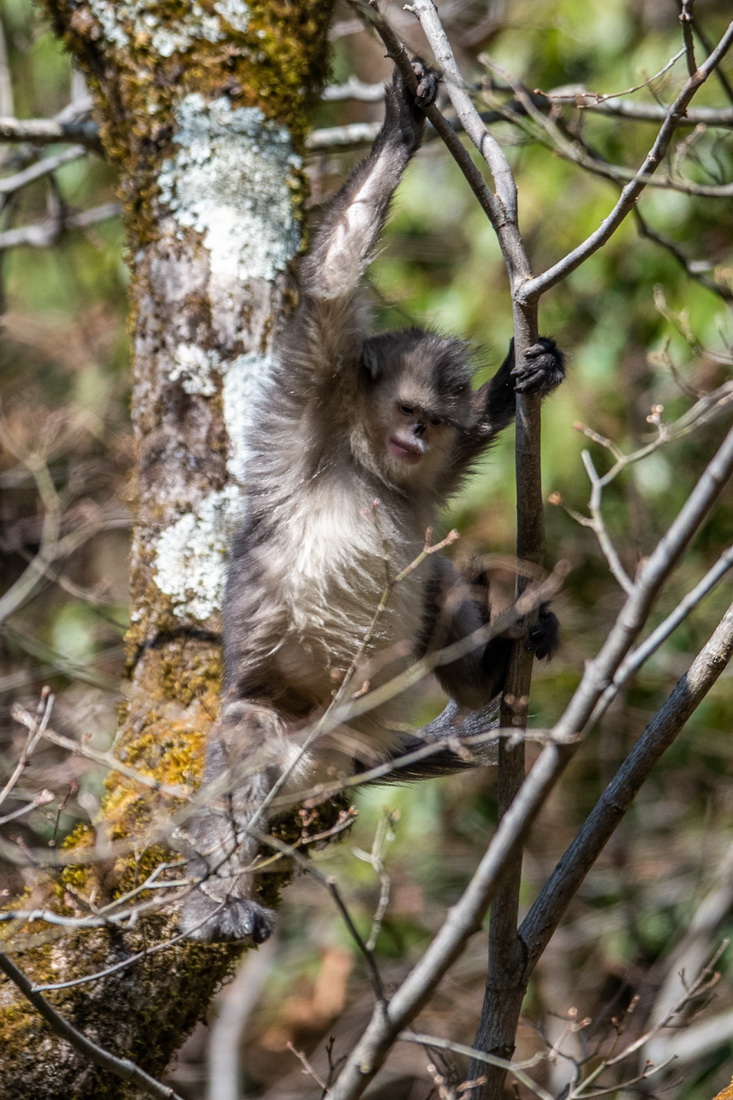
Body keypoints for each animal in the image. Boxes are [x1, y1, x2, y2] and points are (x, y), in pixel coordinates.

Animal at [178, 60, 563, 941]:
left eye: (432, 421)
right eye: (408, 412)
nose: (416, 439)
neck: (365, 466)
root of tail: (339, 749)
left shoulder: (416, 475)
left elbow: (444, 491)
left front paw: (513, 385)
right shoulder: (312, 395)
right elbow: (327, 280)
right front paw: (400, 130)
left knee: (440, 575)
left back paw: (494, 666)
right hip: (285, 736)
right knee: (245, 735)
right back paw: (215, 900)